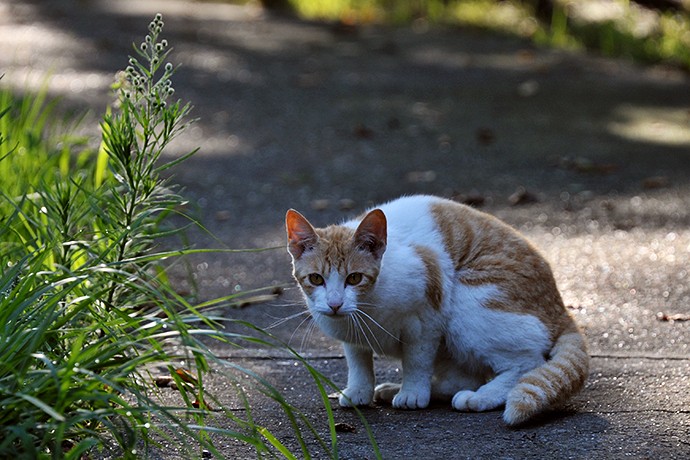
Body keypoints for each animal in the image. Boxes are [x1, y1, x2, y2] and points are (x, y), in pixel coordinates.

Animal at [284, 194, 584, 424]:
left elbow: (416, 361)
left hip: (468, 302)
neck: (368, 309)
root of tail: (561, 308)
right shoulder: (351, 334)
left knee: (526, 363)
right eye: (316, 279)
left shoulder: (426, 317)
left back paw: (479, 397)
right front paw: (360, 391)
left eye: (354, 278)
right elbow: (358, 361)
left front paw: (413, 393)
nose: (335, 304)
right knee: (463, 378)